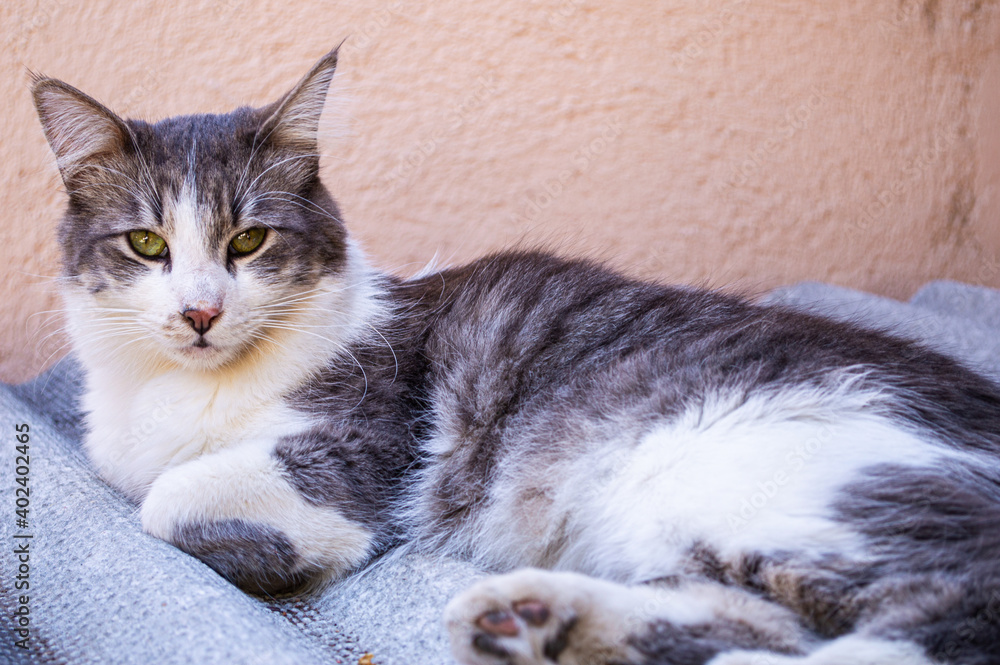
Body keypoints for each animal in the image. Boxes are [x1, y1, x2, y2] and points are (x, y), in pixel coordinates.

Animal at [29, 48, 1000, 664]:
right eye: (148, 244)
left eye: (249, 241)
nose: (200, 311)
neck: (179, 391)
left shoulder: (357, 454)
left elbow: (165, 502)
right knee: (759, 622)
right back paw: (534, 620)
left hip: (776, 476)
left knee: (939, 611)